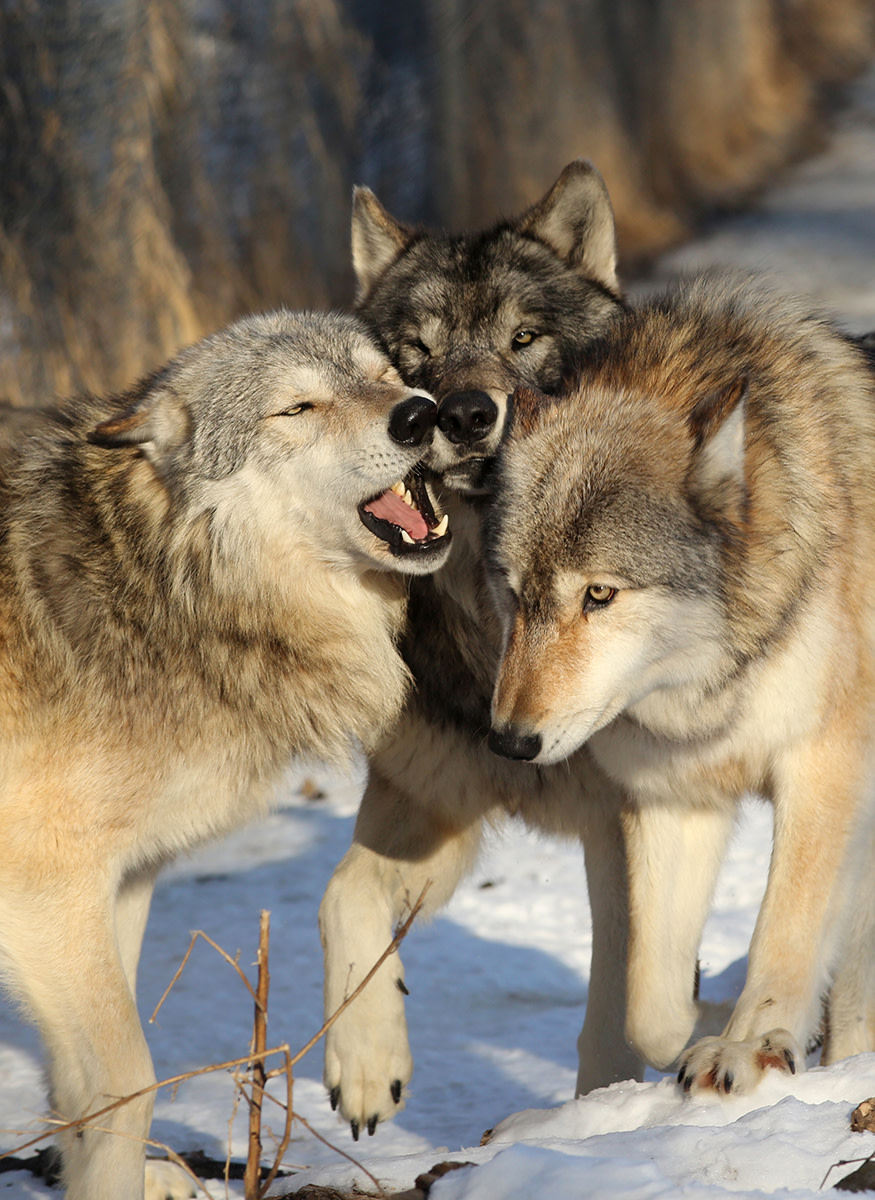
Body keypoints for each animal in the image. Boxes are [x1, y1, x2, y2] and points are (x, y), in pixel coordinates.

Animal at [0, 312, 451, 1200]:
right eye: (297, 408)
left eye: (386, 376)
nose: (419, 414)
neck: (160, 582)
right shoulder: (43, 887)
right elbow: (124, 1080)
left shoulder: (122, 879)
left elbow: (83, 1088)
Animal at [319, 162, 643, 1142]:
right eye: (414, 354)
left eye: (524, 338)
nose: (459, 413)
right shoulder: (430, 800)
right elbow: (339, 895)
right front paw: (365, 1064)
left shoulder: (631, 825)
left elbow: (617, 1007)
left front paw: (603, 1123)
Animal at [492, 274, 873, 1099]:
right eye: (513, 594)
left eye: (598, 595)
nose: (508, 742)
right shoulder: (673, 798)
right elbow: (652, 1011)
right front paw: (711, 1024)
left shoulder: (820, 770)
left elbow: (785, 928)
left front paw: (749, 1043)